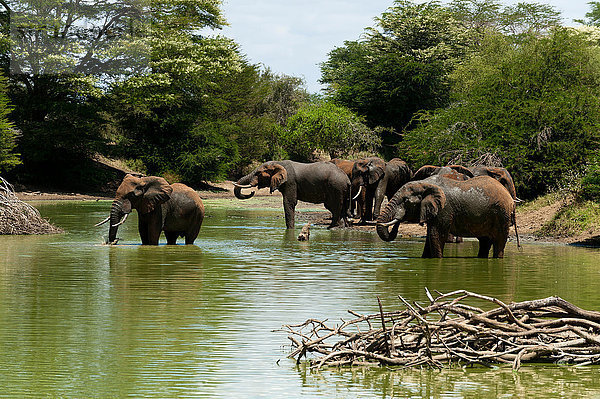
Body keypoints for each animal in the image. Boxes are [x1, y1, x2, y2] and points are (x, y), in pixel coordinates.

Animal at [378, 176, 512, 260]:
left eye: (406, 200)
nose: (399, 218)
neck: (424, 184)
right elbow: (430, 237)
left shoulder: (444, 209)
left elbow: (436, 236)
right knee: (484, 241)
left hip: (502, 215)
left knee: (499, 242)